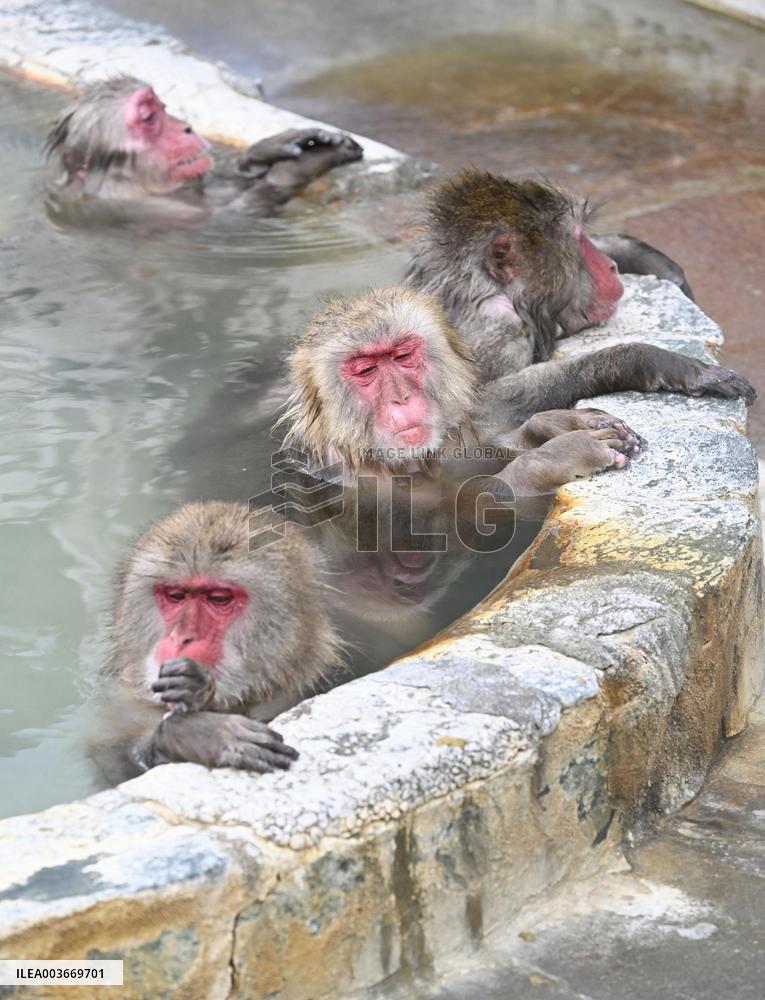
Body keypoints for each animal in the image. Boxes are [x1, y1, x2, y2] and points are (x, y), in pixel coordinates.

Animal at [44, 76, 363, 216]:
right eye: (149, 117)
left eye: (162, 107)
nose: (186, 127)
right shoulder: (161, 210)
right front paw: (302, 166)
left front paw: (270, 148)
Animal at [88, 501, 341, 785]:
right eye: (176, 595)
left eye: (219, 598)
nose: (182, 636)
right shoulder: (122, 700)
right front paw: (197, 734)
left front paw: (196, 689)